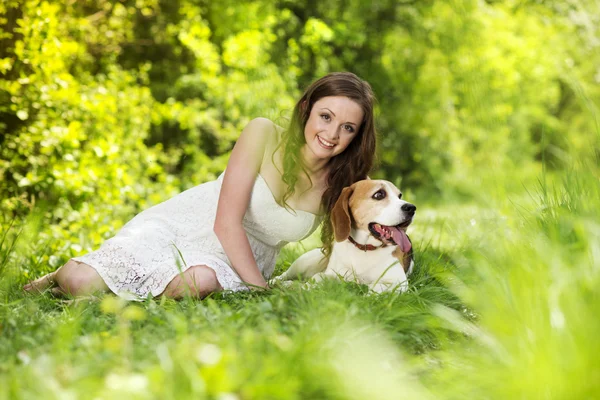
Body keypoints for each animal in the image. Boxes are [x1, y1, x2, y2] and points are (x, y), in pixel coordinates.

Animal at [274, 180, 414, 292]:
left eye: (399, 196)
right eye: (379, 194)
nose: (412, 208)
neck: (363, 248)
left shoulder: (398, 282)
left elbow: (375, 287)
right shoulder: (332, 273)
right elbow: (318, 276)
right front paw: (302, 287)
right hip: (308, 260)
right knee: (285, 274)